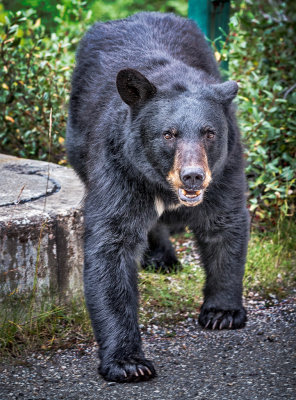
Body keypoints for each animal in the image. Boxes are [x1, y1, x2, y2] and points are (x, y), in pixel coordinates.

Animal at [67, 10, 250, 382]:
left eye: (209, 133)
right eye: (169, 134)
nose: (193, 175)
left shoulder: (225, 167)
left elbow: (225, 225)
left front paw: (222, 312)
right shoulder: (118, 164)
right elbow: (112, 244)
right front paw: (128, 363)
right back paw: (162, 256)